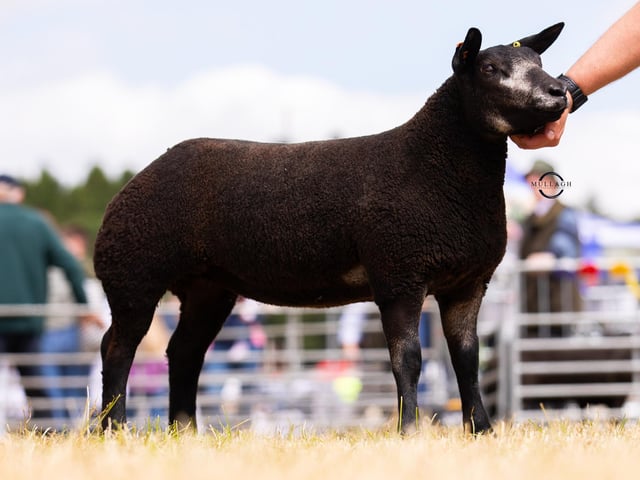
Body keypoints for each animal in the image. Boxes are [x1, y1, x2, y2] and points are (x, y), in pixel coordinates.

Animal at [95, 23, 567, 434]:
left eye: (538, 60)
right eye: (489, 69)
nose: (558, 91)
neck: (433, 165)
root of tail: (136, 181)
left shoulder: (467, 283)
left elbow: (468, 360)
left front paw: (482, 431)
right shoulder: (398, 273)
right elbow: (408, 359)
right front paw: (410, 431)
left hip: (207, 287)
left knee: (184, 352)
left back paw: (184, 432)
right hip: (133, 274)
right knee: (117, 347)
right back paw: (113, 428)